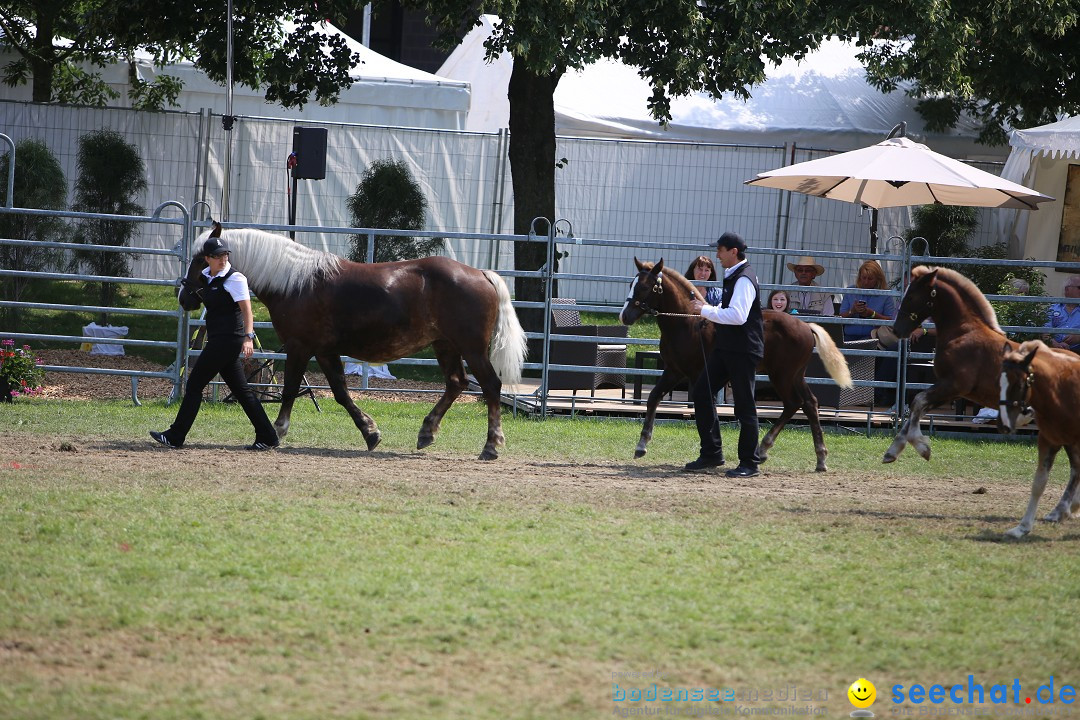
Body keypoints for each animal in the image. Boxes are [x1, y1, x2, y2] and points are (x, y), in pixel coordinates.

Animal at [180, 225, 527, 459]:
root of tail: (481, 273)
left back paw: (491, 446)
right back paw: (426, 432)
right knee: (456, 383)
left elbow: (291, 389)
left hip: (471, 348)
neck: (296, 282)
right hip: (445, 345)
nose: (184, 297)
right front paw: (370, 433)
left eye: (201, 259)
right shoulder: (324, 351)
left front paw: (277, 431)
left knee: (490, 386)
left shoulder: (300, 346)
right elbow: (340, 392)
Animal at [626, 259, 851, 472]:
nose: (624, 315)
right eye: (631, 284)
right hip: (796, 375)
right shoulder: (674, 371)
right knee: (810, 403)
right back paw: (818, 458)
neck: (688, 324)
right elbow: (654, 397)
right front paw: (641, 445)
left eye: (644, 287)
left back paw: (763, 449)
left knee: (793, 403)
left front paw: (710, 454)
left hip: (782, 376)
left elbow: (706, 409)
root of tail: (806, 326)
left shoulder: (697, 375)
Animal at [993, 341, 1080, 537]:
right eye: (999, 383)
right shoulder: (1050, 440)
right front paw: (1023, 527)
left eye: (1018, 385)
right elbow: (1039, 483)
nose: (1003, 424)